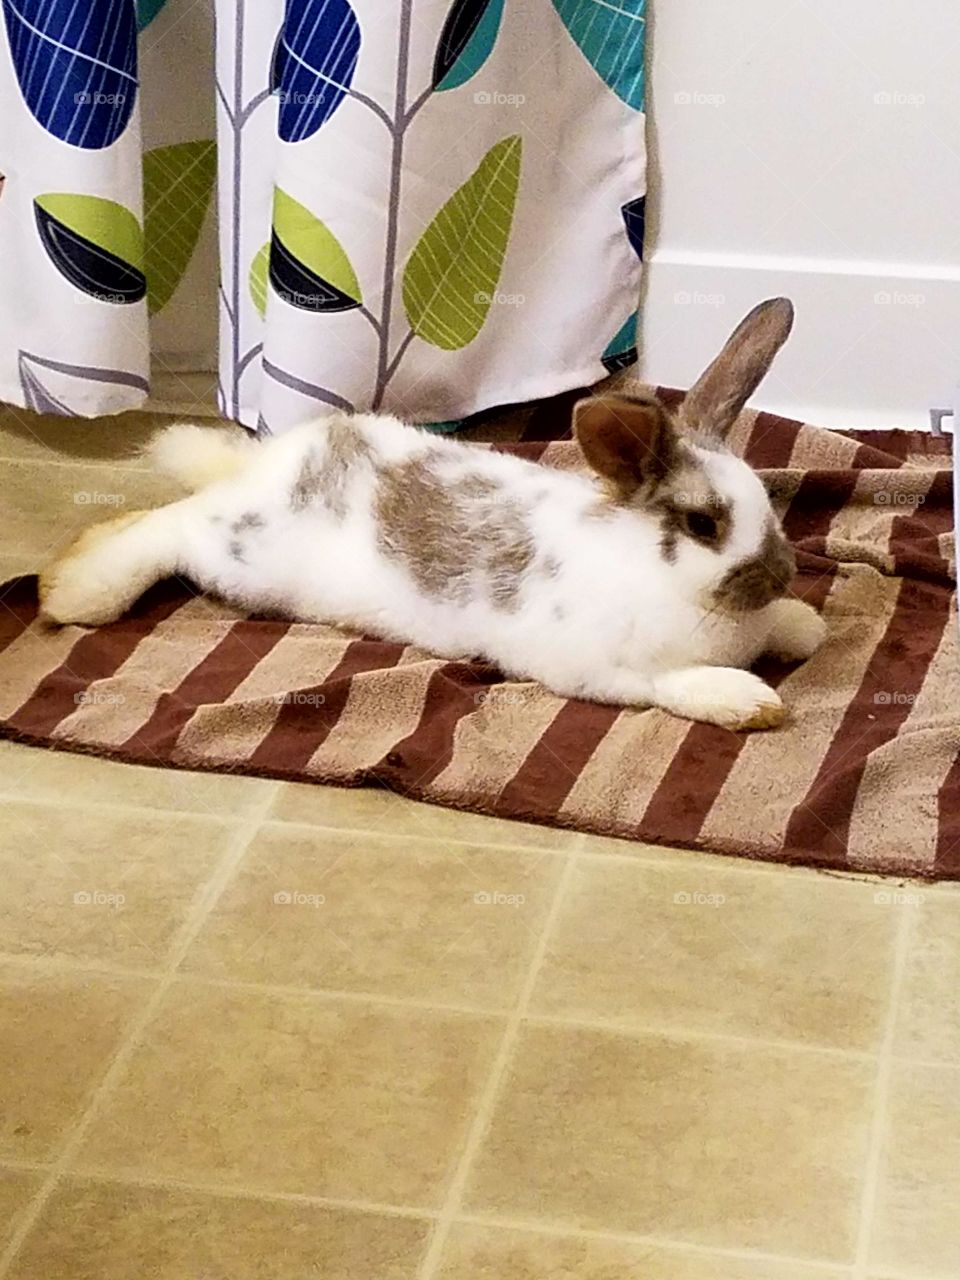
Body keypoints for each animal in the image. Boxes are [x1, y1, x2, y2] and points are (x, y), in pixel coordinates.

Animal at [39, 297, 826, 731]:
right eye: (702, 524)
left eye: (766, 501)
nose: (780, 577)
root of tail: (263, 468)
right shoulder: (597, 670)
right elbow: (673, 687)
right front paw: (749, 701)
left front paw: (804, 626)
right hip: (240, 556)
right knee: (162, 526)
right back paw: (71, 592)